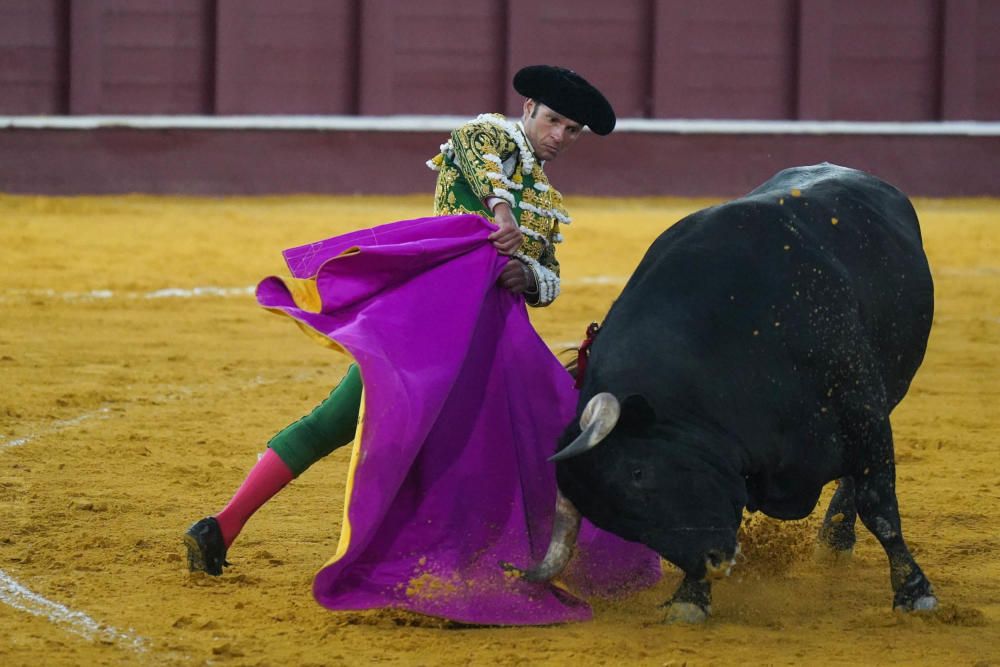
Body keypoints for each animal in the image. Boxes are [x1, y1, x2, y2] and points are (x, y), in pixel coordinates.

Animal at [516, 164, 936, 624]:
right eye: (616, 522)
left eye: (638, 473)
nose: (713, 563)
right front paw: (690, 597)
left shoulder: (862, 408)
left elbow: (879, 505)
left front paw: (915, 593)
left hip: (889, 390)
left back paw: (836, 540)